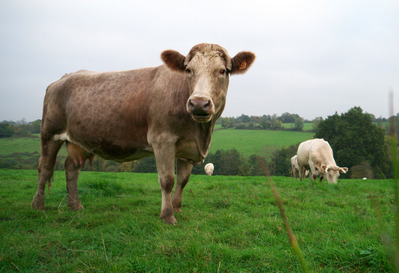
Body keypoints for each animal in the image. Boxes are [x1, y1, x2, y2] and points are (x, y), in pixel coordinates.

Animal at [32, 43, 256, 223]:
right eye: (188, 70)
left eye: (222, 71)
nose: (199, 103)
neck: (200, 133)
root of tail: (61, 79)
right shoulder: (162, 140)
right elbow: (167, 180)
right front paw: (167, 216)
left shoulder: (187, 147)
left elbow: (183, 180)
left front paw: (177, 208)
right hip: (49, 134)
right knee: (45, 168)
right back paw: (38, 206)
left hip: (79, 140)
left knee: (71, 168)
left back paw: (75, 206)